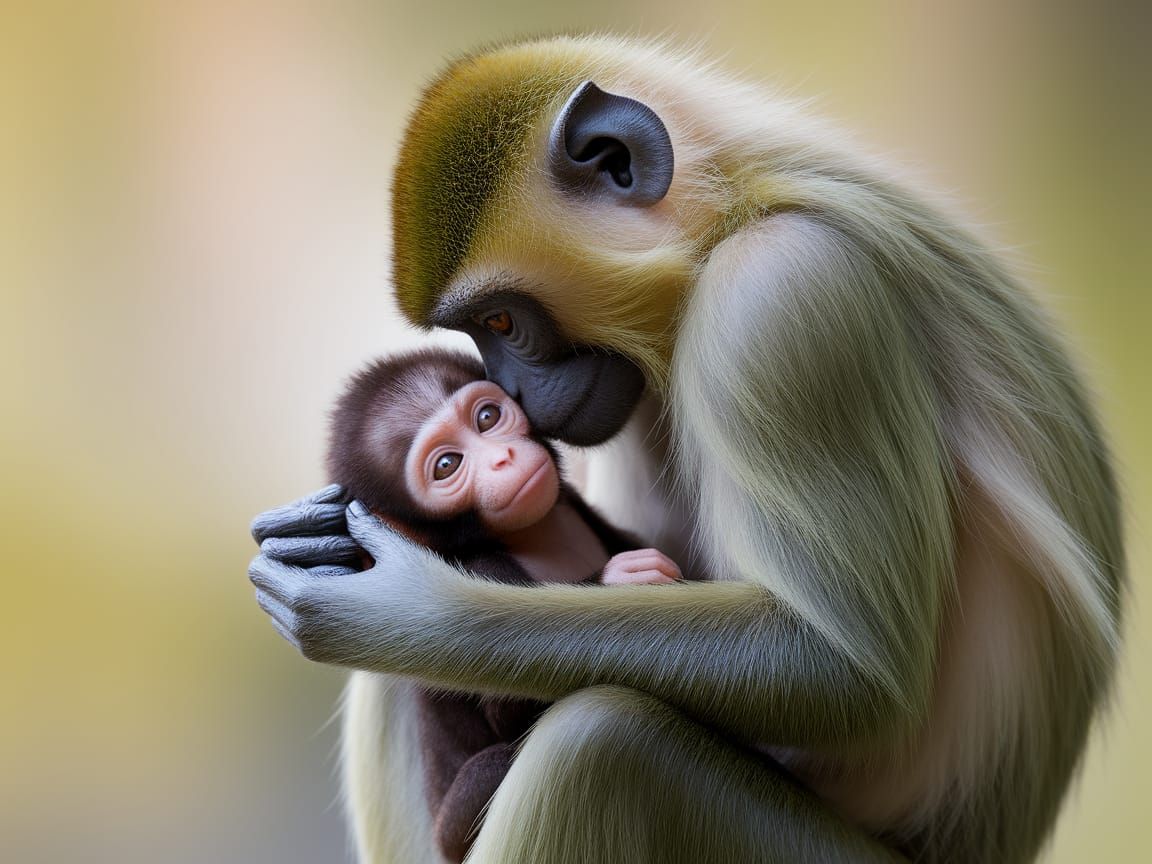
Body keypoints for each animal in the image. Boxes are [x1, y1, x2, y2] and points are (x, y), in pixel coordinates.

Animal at [323, 348, 682, 862]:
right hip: (452, 833)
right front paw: (613, 582)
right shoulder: (482, 568)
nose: (502, 457)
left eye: (487, 418)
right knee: (498, 762)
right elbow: (512, 707)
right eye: (447, 465)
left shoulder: (574, 505)